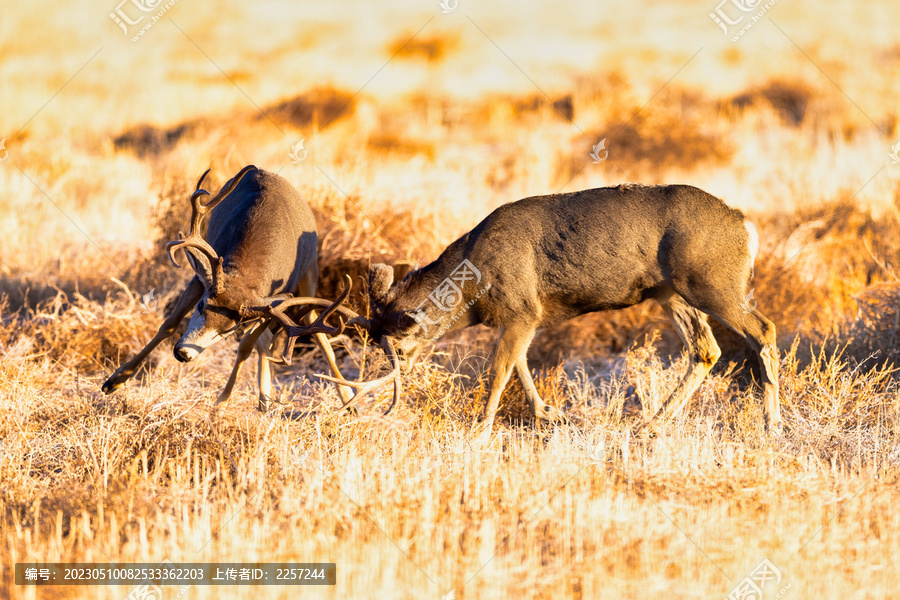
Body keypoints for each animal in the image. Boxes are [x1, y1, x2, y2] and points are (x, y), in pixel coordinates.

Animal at [103, 164, 356, 410]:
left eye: (229, 329)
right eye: (201, 306)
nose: (183, 354)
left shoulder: (268, 305)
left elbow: (245, 346)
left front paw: (221, 403)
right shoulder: (202, 278)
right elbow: (169, 324)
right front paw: (114, 381)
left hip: (311, 269)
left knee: (309, 321)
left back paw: (346, 398)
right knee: (274, 339)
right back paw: (266, 401)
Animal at [320, 183, 784, 436]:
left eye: (398, 348)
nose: (397, 373)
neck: (473, 278)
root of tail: (746, 226)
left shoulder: (522, 309)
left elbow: (498, 369)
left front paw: (479, 432)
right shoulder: (528, 318)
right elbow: (521, 364)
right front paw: (547, 414)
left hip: (713, 283)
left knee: (763, 330)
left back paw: (772, 426)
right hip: (670, 292)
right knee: (705, 348)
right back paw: (649, 424)